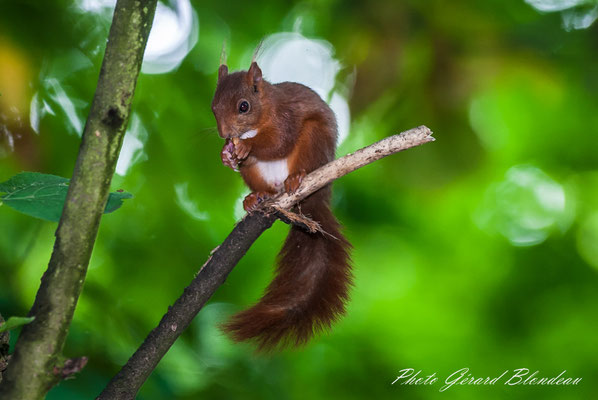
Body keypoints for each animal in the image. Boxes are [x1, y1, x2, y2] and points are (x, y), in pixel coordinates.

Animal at [212, 61, 354, 352]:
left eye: (244, 106)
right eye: (213, 106)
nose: (225, 134)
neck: (265, 109)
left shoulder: (286, 117)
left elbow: (279, 142)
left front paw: (246, 146)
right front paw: (225, 154)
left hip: (314, 139)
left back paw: (296, 178)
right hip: (256, 175)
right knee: (264, 187)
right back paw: (255, 197)